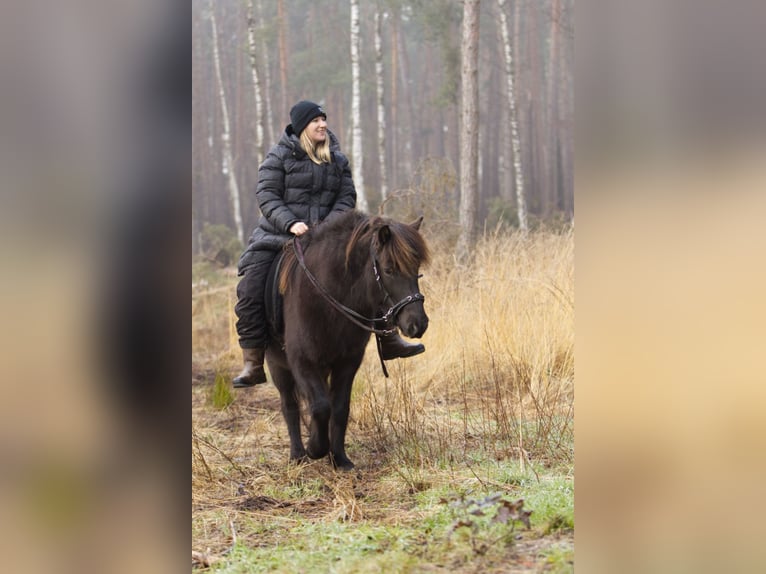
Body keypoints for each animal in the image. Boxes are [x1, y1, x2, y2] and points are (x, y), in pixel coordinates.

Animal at [268, 209, 428, 470]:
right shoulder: (302, 362)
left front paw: (339, 459)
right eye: (389, 269)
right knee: (289, 405)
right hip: (277, 365)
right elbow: (320, 407)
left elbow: (339, 407)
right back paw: (298, 455)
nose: (418, 324)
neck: (329, 299)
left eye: (416, 268)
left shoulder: (347, 362)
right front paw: (315, 448)